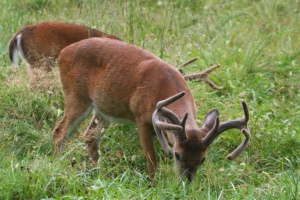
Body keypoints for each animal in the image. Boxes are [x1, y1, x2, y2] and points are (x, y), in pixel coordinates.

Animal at [52, 38, 251, 183]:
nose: (186, 182)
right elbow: (152, 161)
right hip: (76, 96)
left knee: (90, 136)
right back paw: (60, 168)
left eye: (202, 159)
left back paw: (97, 172)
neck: (166, 86)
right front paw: (153, 185)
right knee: (59, 133)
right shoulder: (142, 120)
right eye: (177, 154)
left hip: (103, 109)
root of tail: (63, 53)